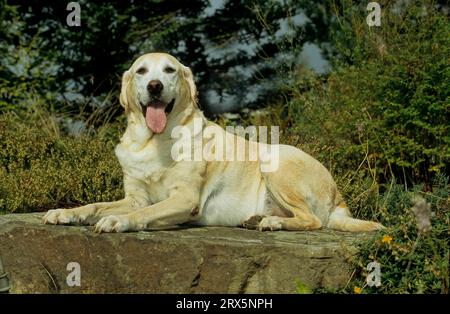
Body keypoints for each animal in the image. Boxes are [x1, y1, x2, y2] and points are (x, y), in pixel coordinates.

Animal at [44, 52, 384, 233]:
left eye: (169, 70)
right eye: (141, 71)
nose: (154, 86)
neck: (154, 141)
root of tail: (339, 198)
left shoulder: (183, 200)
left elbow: (140, 214)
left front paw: (118, 221)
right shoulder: (136, 197)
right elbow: (95, 205)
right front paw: (65, 213)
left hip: (275, 160)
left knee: (313, 220)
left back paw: (272, 222)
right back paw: (260, 218)